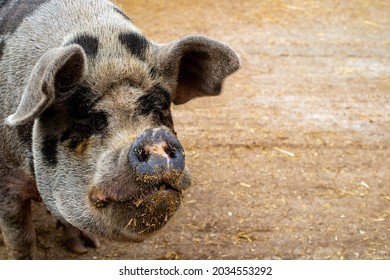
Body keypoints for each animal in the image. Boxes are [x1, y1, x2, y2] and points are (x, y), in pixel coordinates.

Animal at [0, 0, 239, 258]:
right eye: (88, 119)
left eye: (160, 108)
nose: (153, 137)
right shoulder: (6, 184)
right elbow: (21, 239)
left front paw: (83, 248)